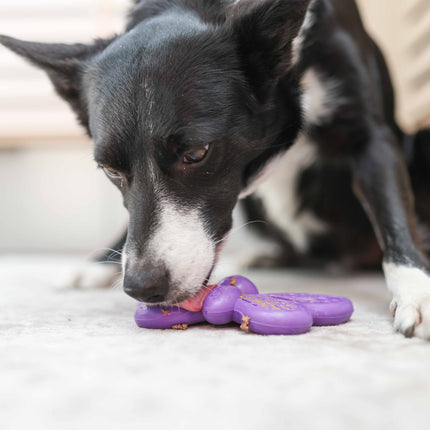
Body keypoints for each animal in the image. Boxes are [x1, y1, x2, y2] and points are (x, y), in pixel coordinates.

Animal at [2, 0, 430, 340]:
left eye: (196, 153)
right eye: (109, 168)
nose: (141, 287)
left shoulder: (370, 138)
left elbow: (394, 214)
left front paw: (416, 291)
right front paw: (99, 262)